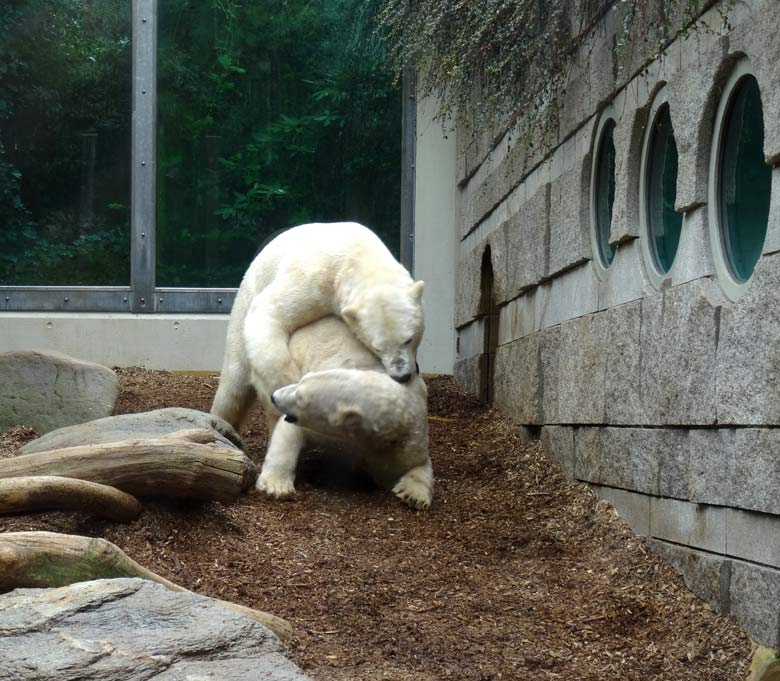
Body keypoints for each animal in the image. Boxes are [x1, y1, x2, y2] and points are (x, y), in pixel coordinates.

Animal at [210, 220, 424, 428]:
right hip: (244, 304)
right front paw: (290, 385)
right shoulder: (315, 278)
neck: (359, 255)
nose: (401, 376)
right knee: (234, 381)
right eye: (377, 348)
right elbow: (268, 309)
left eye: (409, 339)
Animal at [258, 316, 432, 508]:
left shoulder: (407, 436)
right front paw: (276, 485)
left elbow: (416, 463)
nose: (275, 396)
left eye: (301, 398)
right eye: (302, 381)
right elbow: (289, 433)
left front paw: (413, 495)